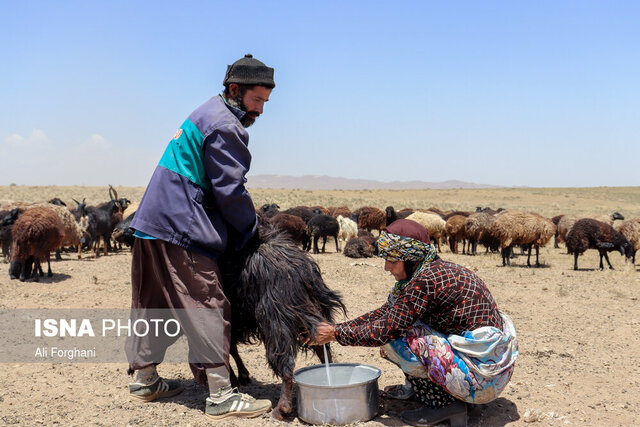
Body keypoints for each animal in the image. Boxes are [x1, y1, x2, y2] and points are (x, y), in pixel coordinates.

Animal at [221, 219, 350, 420]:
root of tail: (300, 270)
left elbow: (227, 348)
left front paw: (237, 379)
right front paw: (240, 377)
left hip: (276, 322)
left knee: (287, 364)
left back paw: (281, 409)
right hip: (309, 313)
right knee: (323, 348)